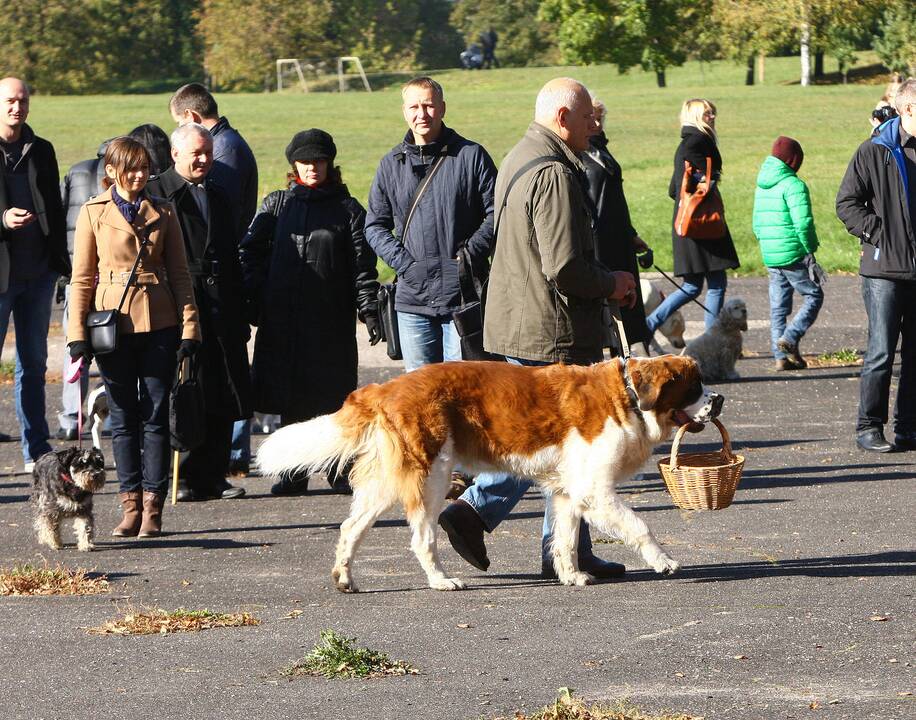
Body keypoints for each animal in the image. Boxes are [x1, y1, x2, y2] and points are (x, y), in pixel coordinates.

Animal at [256, 352, 724, 592]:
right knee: (422, 537)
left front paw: (571, 575)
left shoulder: (569, 491)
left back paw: (345, 578)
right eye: (694, 386)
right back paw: (441, 580)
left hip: (389, 481)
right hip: (431, 476)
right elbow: (639, 525)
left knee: (351, 527)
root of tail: (383, 387)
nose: (718, 399)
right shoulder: (594, 488)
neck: (628, 396)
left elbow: (565, 538)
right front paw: (664, 562)